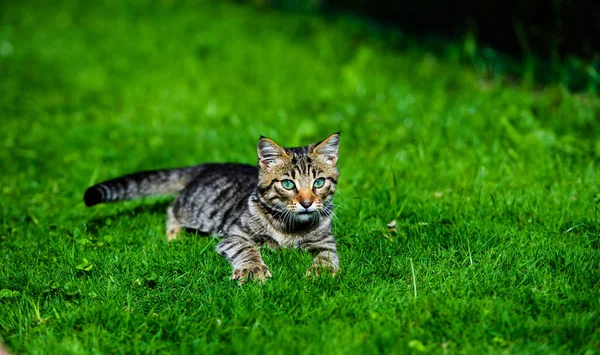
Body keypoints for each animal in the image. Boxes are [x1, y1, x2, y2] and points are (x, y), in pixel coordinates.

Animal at [86, 132, 344, 286]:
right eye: (288, 184)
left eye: (318, 182)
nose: (307, 202)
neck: (289, 228)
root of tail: (206, 166)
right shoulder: (234, 234)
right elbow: (247, 249)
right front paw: (252, 268)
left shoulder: (325, 241)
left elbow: (326, 256)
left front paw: (322, 272)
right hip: (191, 207)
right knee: (171, 209)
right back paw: (174, 235)